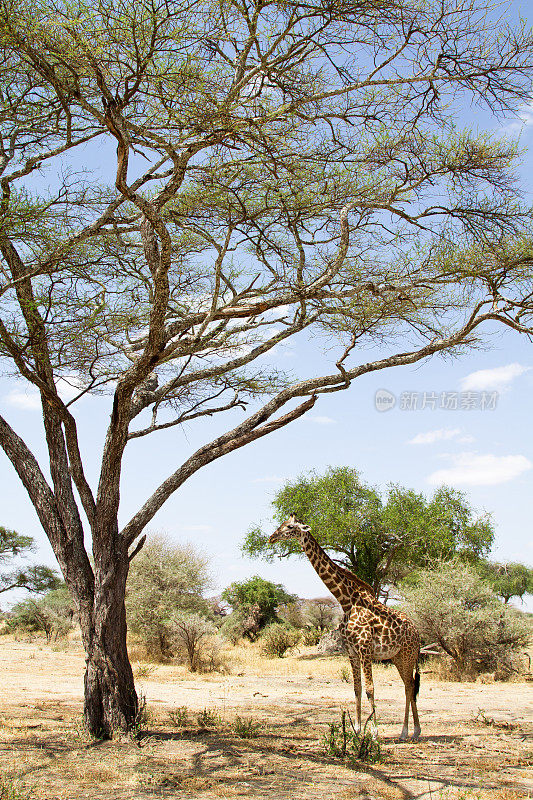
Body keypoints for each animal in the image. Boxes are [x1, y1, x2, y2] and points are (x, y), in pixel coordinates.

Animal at [270, 516, 420, 740]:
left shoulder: (365, 649)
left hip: (409, 655)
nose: (272, 537)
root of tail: (417, 631)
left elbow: (370, 688)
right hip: (398, 656)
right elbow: (357, 688)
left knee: (409, 686)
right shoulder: (351, 651)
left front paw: (374, 733)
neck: (346, 601)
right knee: (408, 685)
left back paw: (407, 732)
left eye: (289, 527)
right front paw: (357, 730)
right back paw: (413, 731)